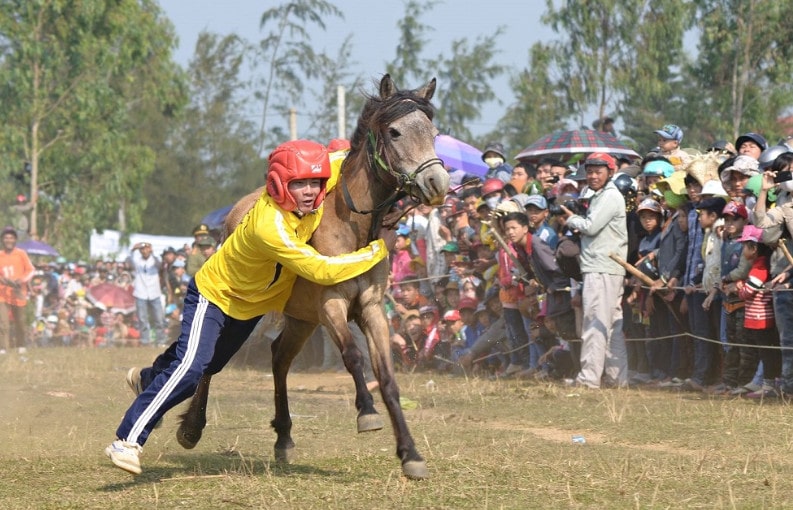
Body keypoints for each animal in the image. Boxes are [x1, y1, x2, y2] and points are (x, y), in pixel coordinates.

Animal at [176, 73, 448, 480]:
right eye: (396, 132)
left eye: (432, 132)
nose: (437, 183)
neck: (352, 227)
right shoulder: (331, 306)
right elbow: (353, 356)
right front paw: (367, 413)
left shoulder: (370, 309)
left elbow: (387, 378)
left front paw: (410, 454)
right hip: (243, 310)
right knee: (212, 358)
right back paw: (192, 428)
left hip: (301, 319)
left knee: (279, 357)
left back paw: (284, 437)